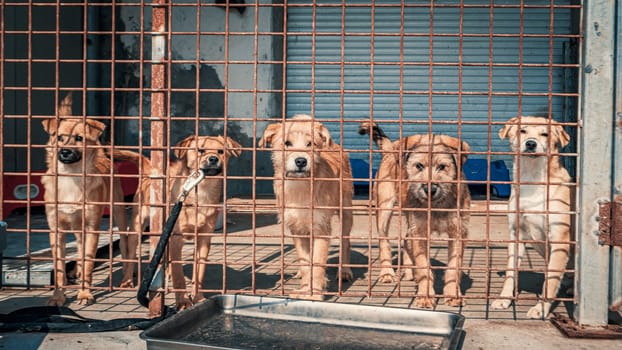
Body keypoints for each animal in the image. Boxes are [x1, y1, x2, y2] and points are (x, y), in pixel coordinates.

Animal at [40, 93, 129, 306]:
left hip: (118, 213)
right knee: (80, 250)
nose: (64, 152)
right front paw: (58, 296)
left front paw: (85, 294)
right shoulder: (57, 230)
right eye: (59, 137)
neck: (71, 178)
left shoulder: (91, 227)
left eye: (79, 138)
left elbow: (89, 261)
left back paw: (127, 280)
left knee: (124, 245)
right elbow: (60, 268)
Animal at [260, 115, 356, 300]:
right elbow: (306, 262)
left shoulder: (321, 228)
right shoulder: (296, 228)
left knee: (345, 241)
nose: (301, 161)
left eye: (310, 144)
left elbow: (317, 264)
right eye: (287, 143)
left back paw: (345, 271)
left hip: (346, 211)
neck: (300, 185)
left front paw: (314, 295)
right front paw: (305, 288)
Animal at [358, 121, 470, 308]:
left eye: (442, 167)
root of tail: (390, 150)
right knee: (384, 240)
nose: (429, 189)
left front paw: (453, 295)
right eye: (418, 166)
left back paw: (410, 271)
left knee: (405, 239)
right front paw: (425, 296)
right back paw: (387, 272)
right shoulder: (420, 232)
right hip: (384, 209)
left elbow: (454, 267)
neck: (436, 204)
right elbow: (424, 266)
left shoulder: (458, 233)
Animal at [492, 116, 576, 318]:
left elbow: (550, 282)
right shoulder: (516, 235)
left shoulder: (560, 240)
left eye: (545, 134)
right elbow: (510, 272)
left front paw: (541, 308)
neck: (532, 180)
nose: (531, 143)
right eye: (523, 131)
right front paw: (504, 298)